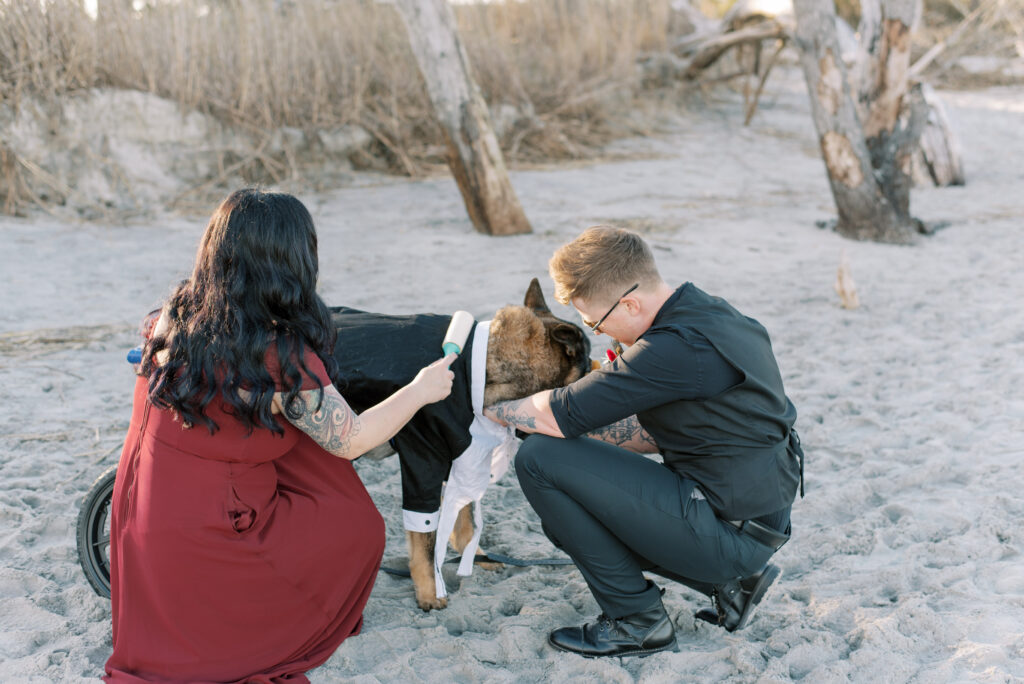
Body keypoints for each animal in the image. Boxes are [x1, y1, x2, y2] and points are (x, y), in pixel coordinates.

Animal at [333, 278, 593, 610]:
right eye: (588, 369)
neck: (479, 369)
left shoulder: (460, 454)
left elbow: (465, 517)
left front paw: (476, 557)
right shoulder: (423, 461)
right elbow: (426, 538)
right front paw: (429, 591)